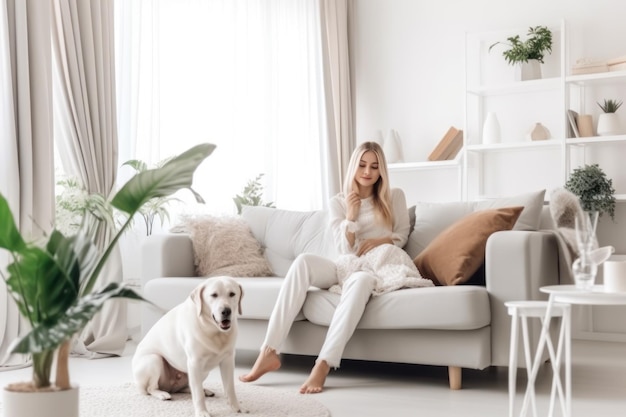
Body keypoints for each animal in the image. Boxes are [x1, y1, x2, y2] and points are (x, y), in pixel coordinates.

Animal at [133, 274, 245, 414]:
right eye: (214, 295)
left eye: (232, 294)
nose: (226, 311)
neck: (214, 331)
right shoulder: (195, 362)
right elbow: (198, 395)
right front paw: (202, 412)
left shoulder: (228, 360)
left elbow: (230, 388)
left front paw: (236, 408)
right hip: (154, 360)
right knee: (151, 388)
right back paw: (162, 394)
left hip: (203, 372)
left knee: (187, 387)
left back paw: (204, 390)